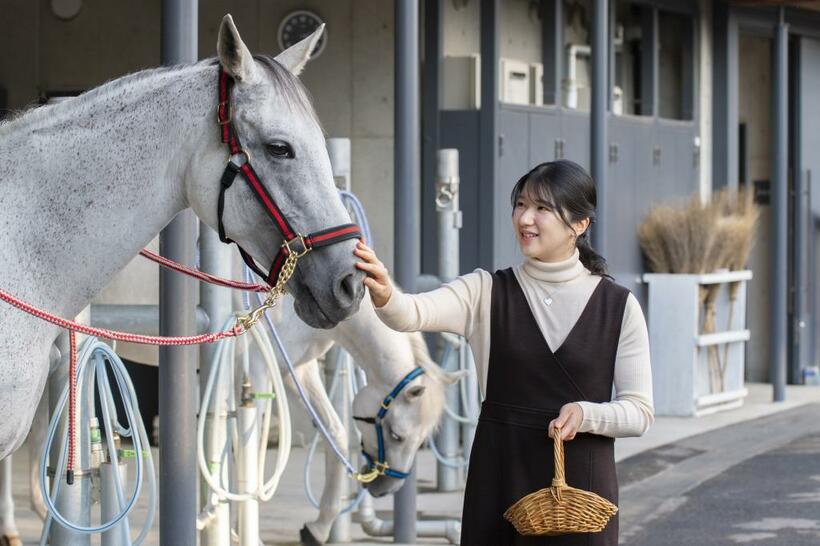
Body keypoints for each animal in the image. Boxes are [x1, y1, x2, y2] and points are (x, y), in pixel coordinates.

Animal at [266, 294, 464, 544]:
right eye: (396, 435)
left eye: (422, 441)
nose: (388, 489)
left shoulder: (296, 370)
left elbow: (334, 432)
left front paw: (319, 528)